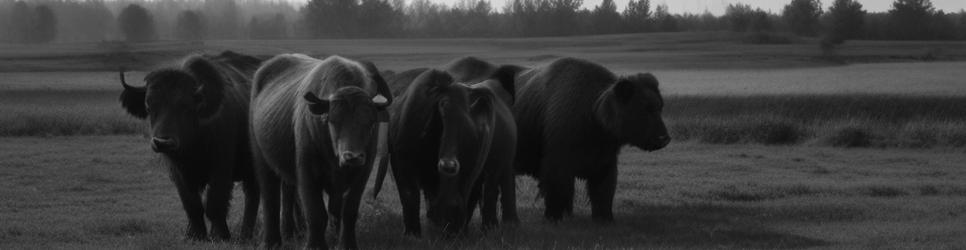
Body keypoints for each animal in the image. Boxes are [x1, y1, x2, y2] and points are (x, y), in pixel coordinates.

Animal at [120, 50, 264, 240]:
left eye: (186, 106)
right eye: (149, 105)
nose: (162, 142)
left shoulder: (221, 168)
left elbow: (215, 202)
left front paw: (220, 234)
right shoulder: (177, 171)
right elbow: (191, 204)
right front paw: (195, 234)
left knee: (253, 196)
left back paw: (246, 234)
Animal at [250, 53, 394, 249]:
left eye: (370, 121)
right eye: (333, 120)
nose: (352, 157)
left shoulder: (362, 173)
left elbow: (348, 212)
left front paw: (346, 244)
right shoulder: (307, 173)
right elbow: (316, 213)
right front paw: (315, 245)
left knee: (288, 195)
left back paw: (290, 233)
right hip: (261, 160)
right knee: (270, 198)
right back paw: (271, 241)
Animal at [372, 68, 520, 236]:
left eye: (466, 128)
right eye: (442, 110)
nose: (449, 164)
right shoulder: (402, 164)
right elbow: (410, 197)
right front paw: (413, 233)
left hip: (501, 168)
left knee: (492, 193)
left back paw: (495, 226)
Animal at [516, 57, 672, 222]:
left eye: (660, 106)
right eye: (643, 108)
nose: (664, 138)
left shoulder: (604, 161)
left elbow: (603, 191)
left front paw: (604, 218)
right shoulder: (557, 163)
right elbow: (558, 190)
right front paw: (554, 217)